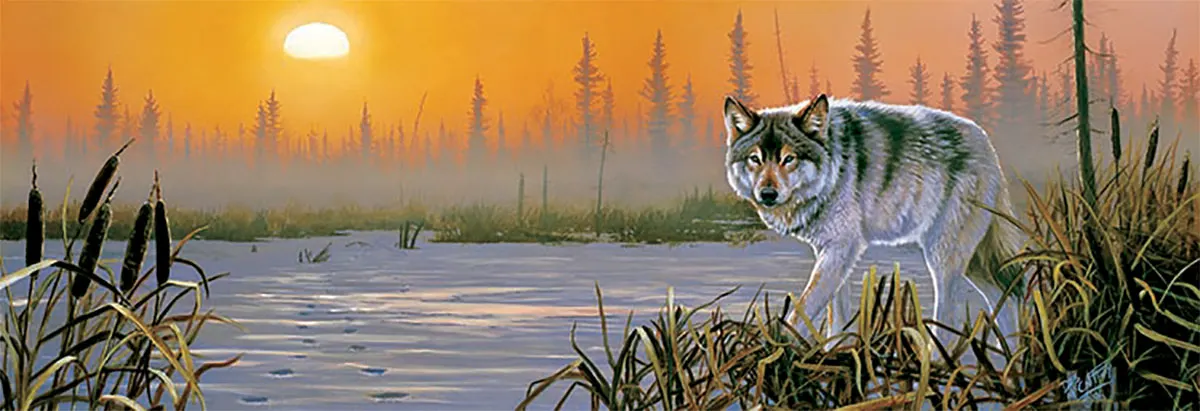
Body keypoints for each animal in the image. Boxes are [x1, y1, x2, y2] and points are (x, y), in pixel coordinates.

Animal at [722, 93, 1026, 344]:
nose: (767, 194)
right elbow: (836, 315)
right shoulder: (834, 250)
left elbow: (804, 308)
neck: (832, 171)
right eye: (755, 159)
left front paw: (780, 350)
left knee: (949, 322)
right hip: (973, 261)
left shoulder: (842, 247)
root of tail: (987, 144)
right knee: (1006, 294)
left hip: (943, 255)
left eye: (788, 159)